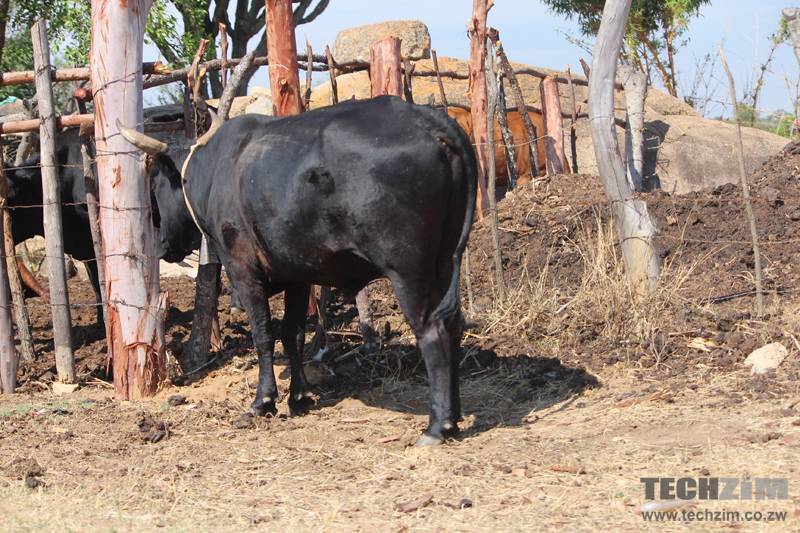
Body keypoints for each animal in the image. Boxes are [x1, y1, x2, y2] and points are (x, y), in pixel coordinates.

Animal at [119, 96, 476, 444]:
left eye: (155, 186)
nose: (161, 245)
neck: (216, 169)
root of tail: (427, 118)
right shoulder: (296, 273)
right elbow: (293, 333)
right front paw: (299, 396)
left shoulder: (243, 269)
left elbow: (263, 335)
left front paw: (263, 401)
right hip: (444, 261)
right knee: (452, 324)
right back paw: (455, 417)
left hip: (407, 267)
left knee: (432, 330)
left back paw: (436, 427)